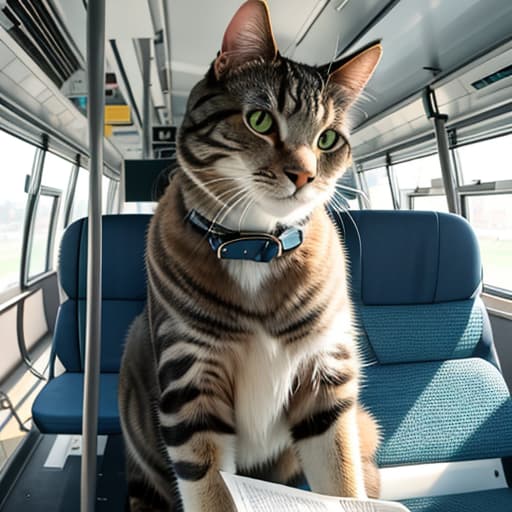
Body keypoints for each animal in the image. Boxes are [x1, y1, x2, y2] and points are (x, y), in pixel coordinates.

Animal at [120, 2, 382, 510]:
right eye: (260, 120)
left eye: (327, 139)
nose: (303, 175)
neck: (255, 244)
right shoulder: (191, 383)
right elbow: (211, 488)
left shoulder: (326, 380)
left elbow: (341, 478)